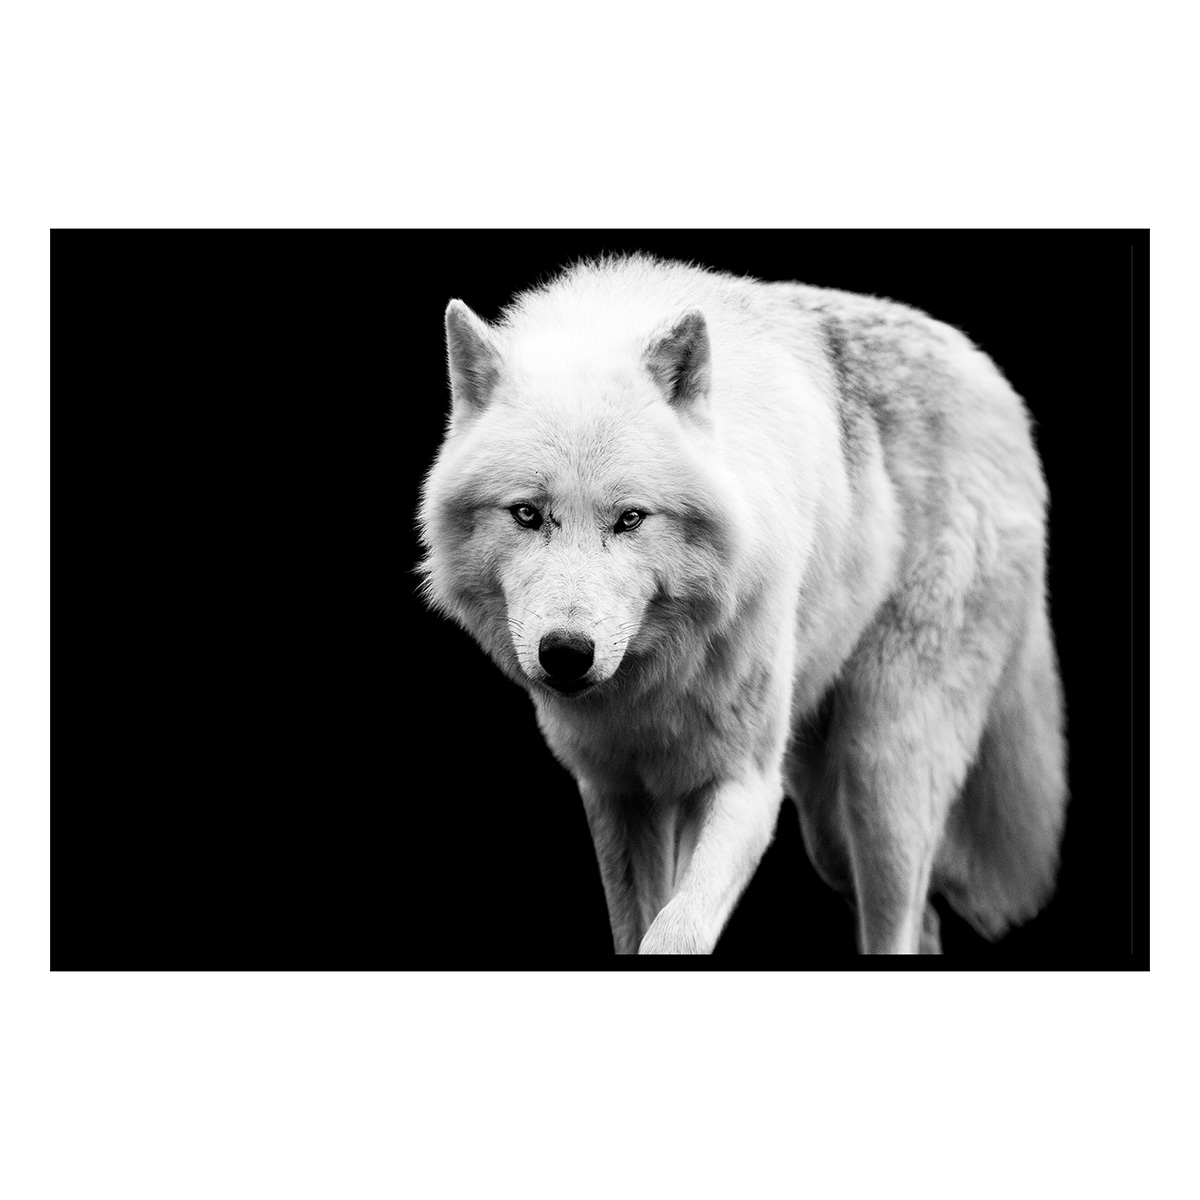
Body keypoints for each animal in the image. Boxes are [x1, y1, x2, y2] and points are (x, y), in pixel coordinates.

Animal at [418, 254, 1068, 955]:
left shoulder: (746, 786)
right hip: (827, 828)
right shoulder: (618, 793)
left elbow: (674, 931)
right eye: (527, 514)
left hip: (880, 778)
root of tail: (991, 379)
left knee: (896, 920)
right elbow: (637, 926)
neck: (654, 681)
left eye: (630, 518)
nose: (566, 654)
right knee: (921, 920)